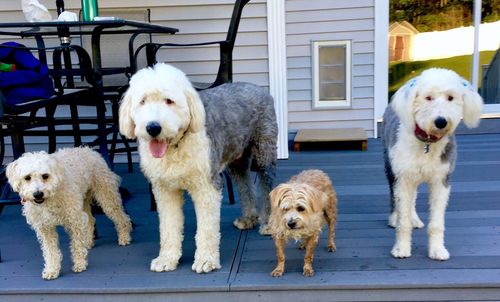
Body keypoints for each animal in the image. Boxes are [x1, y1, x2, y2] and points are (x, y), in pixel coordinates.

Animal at [6, 147, 132, 280]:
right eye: (27, 177)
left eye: (45, 176)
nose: (38, 194)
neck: (50, 198)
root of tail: (88, 149)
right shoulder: (45, 227)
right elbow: (50, 252)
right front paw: (52, 270)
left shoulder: (74, 219)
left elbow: (76, 245)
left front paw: (80, 264)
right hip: (83, 200)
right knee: (90, 220)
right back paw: (88, 242)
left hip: (106, 196)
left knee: (121, 218)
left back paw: (124, 237)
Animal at [120, 63, 278, 274]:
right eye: (142, 101)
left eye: (169, 101)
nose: (153, 128)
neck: (175, 146)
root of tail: (258, 88)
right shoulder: (164, 190)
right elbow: (168, 227)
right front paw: (166, 259)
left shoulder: (206, 186)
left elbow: (207, 229)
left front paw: (205, 260)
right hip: (237, 156)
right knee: (245, 182)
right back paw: (248, 218)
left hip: (264, 150)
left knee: (266, 184)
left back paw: (268, 223)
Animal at [382, 68, 484, 260]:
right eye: (428, 98)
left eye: (451, 97)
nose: (441, 121)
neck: (427, 143)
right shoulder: (403, 177)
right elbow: (403, 220)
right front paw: (401, 249)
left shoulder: (441, 180)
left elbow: (437, 223)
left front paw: (437, 250)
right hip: (390, 165)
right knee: (394, 193)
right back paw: (393, 218)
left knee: (413, 198)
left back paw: (414, 219)